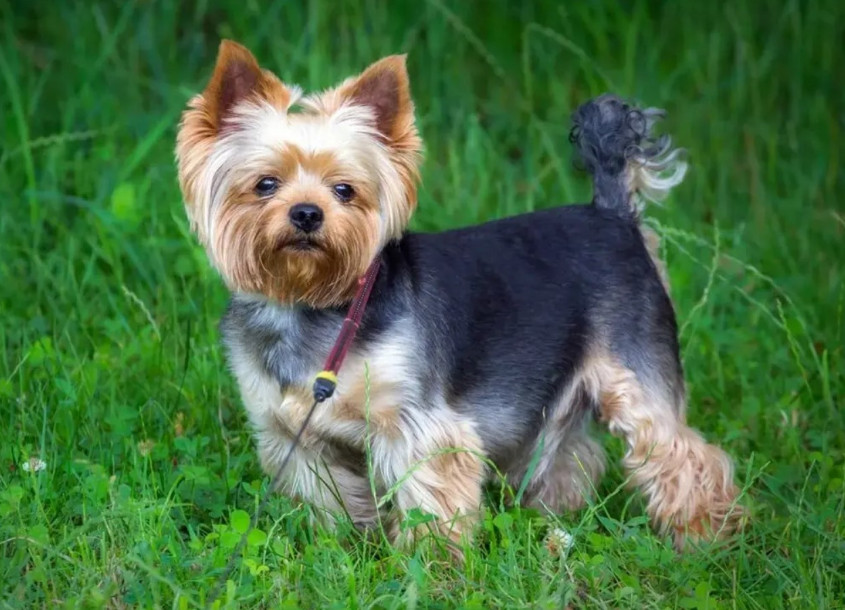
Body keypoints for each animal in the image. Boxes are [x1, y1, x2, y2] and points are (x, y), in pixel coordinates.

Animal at [175, 38, 740, 552]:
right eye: (265, 184)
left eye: (344, 190)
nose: (308, 214)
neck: (312, 303)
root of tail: (614, 213)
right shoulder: (296, 436)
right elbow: (327, 500)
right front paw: (336, 552)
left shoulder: (418, 428)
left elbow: (429, 502)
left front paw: (431, 569)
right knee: (572, 455)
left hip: (634, 373)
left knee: (682, 453)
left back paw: (704, 536)